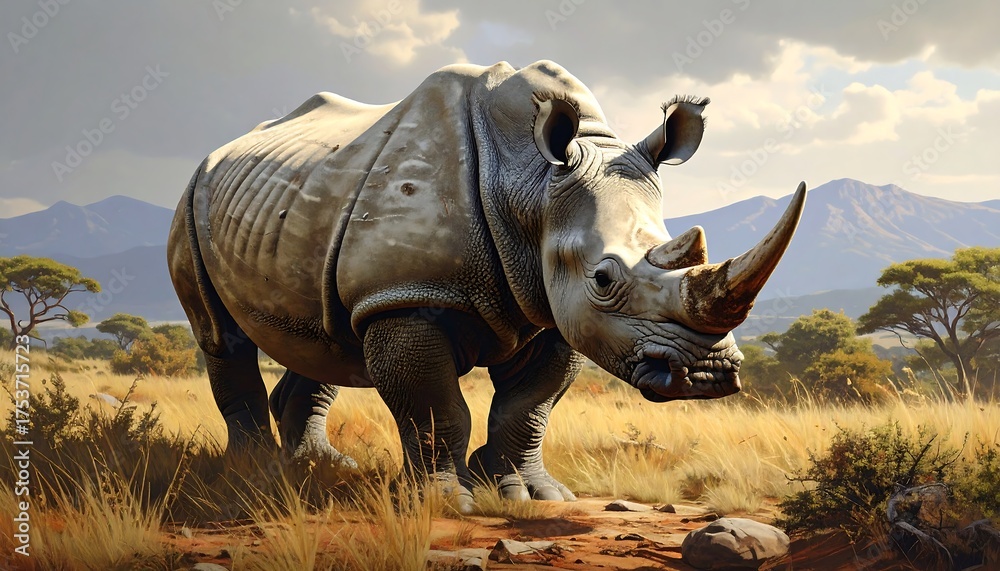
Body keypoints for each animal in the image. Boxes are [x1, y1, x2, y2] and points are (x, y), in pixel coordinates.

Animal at [167, 60, 806, 511]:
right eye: (604, 279)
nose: (708, 374)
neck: (531, 183)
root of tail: (219, 152)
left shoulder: (550, 307)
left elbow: (529, 408)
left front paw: (532, 496)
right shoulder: (411, 295)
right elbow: (435, 407)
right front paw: (447, 502)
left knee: (325, 333)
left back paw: (321, 469)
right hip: (193, 196)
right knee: (221, 336)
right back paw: (253, 471)